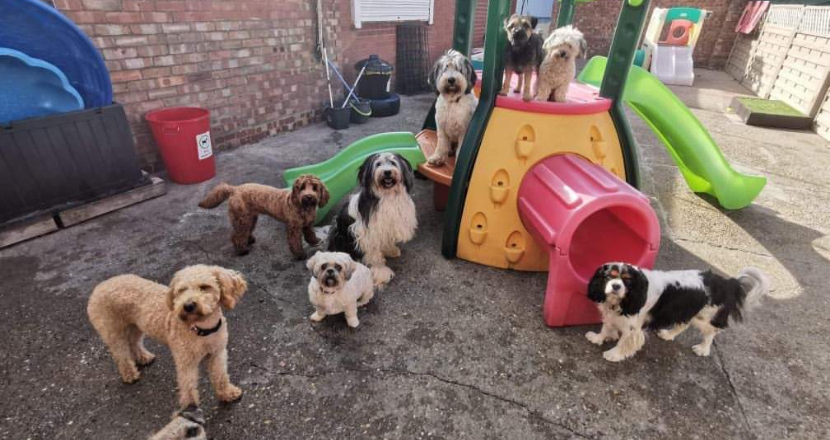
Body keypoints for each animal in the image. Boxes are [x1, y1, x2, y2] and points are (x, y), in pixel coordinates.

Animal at [324, 153, 416, 288]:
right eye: (378, 164)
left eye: (393, 163)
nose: (387, 172)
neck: (386, 196)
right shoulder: (368, 235)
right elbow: (375, 256)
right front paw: (381, 273)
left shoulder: (386, 227)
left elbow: (387, 240)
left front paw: (391, 250)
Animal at [588, 264, 772, 360]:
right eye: (608, 277)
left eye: (627, 281)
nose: (615, 286)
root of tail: (728, 283)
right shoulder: (611, 314)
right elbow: (606, 327)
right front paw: (598, 338)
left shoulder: (633, 327)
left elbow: (624, 342)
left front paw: (613, 354)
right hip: (689, 312)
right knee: (684, 325)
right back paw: (668, 335)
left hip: (705, 317)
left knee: (712, 332)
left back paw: (703, 349)